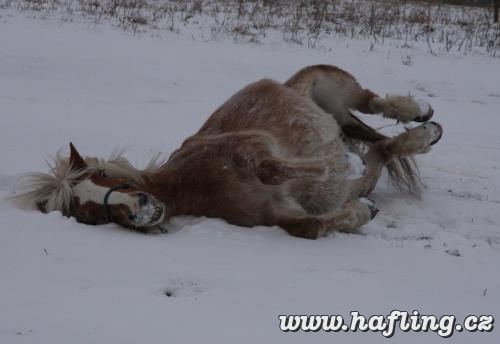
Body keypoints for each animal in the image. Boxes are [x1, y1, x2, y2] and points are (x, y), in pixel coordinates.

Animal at [10, 64, 442, 239]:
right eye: (86, 215)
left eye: (103, 176)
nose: (141, 210)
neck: (194, 182)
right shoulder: (277, 216)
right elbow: (307, 227)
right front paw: (360, 213)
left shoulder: (257, 150)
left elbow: (272, 168)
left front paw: (340, 163)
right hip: (340, 119)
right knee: (381, 148)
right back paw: (421, 137)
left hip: (330, 85)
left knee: (372, 101)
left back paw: (419, 112)